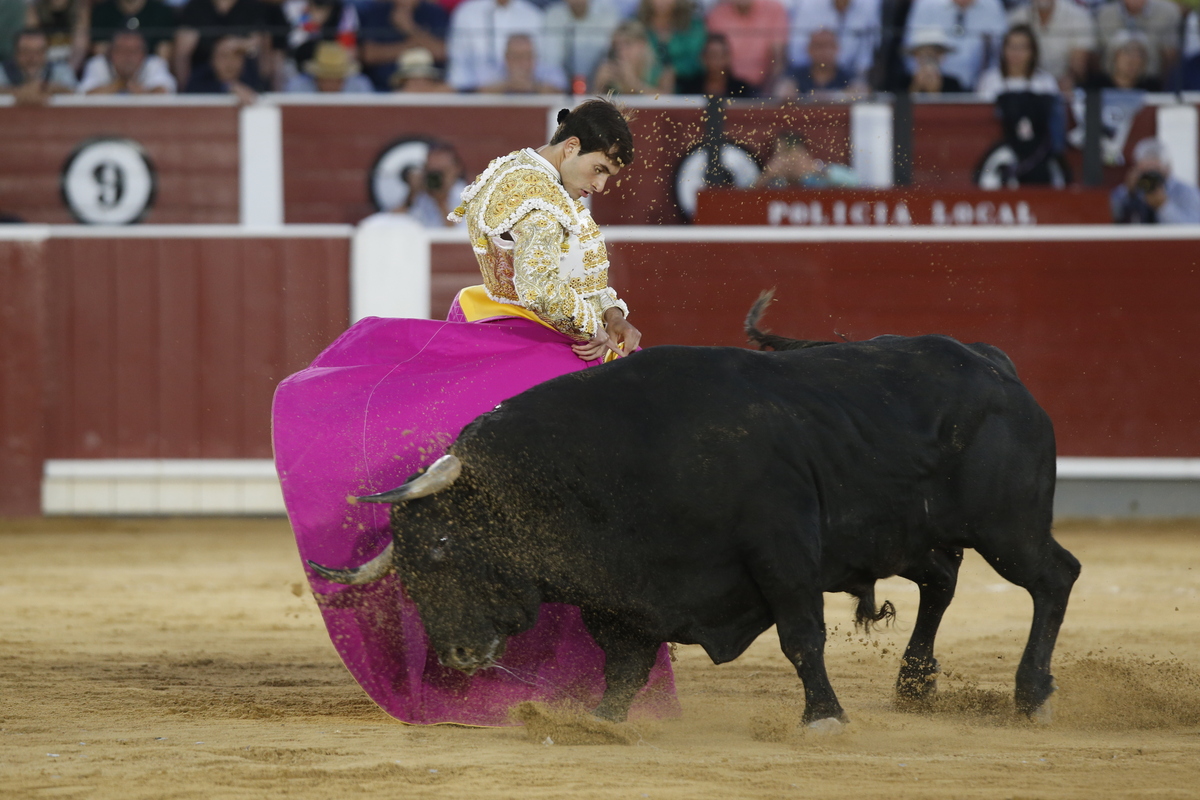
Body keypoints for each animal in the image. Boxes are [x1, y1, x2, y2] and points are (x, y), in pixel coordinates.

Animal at [309, 309, 1080, 734]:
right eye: (406, 571)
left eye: (444, 547)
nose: (459, 654)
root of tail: (993, 364)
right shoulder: (624, 592)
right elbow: (622, 668)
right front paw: (601, 724)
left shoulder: (783, 555)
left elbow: (802, 639)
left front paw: (823, 719)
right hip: (911, 532)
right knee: (941, 583)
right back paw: (916, 684)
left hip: (1006, 528)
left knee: (1055, 577)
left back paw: (1033, 695)